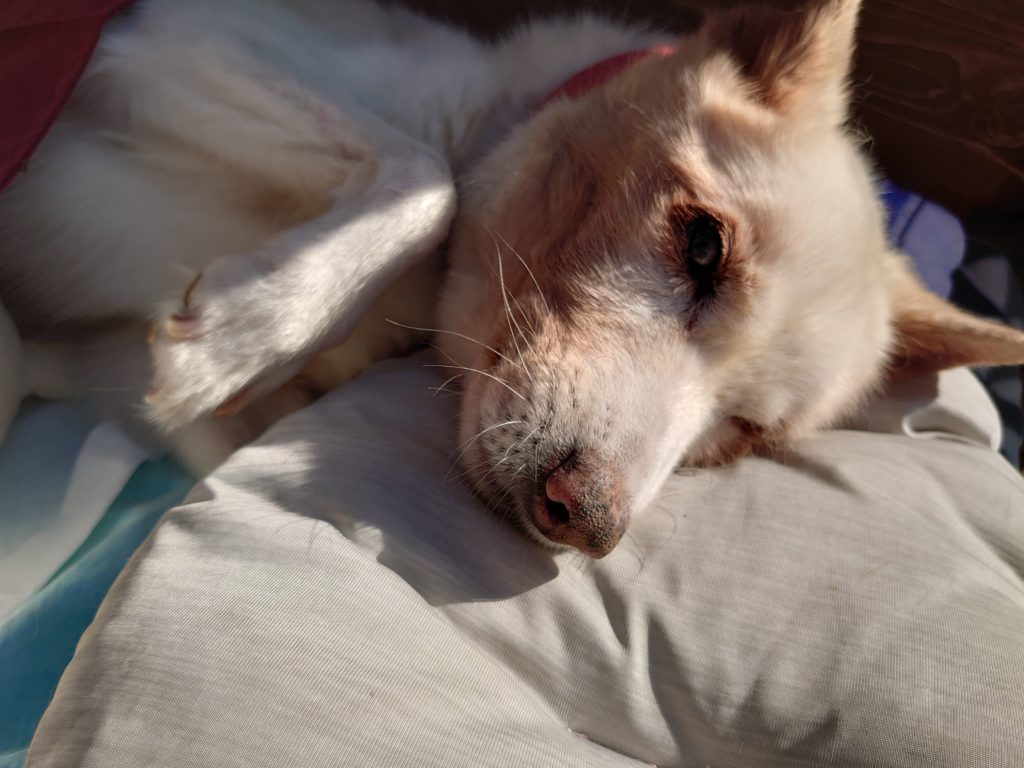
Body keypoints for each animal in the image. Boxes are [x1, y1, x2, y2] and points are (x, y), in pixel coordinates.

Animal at [1, 0, 1022, 556]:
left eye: (746, 432)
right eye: (703, 247)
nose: (589, 523)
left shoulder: (99, 376)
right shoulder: (160, 39)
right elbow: (429, 181)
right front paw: (237, 337)